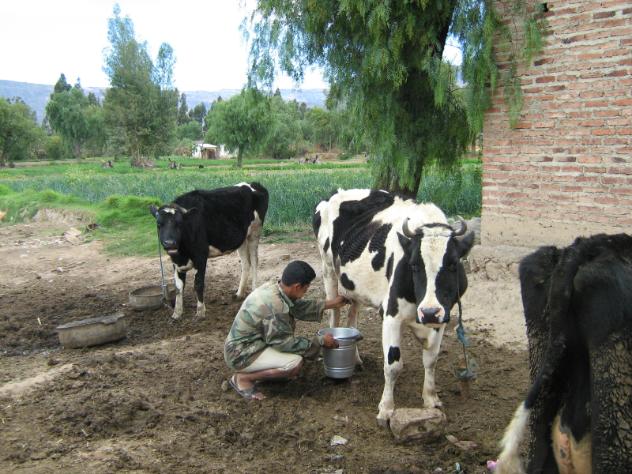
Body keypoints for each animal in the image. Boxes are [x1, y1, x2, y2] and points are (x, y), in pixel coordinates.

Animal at [149, 182, 269, 320]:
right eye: (159, 224)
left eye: (179, 224)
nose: (169, 243)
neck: (182, 253)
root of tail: (254, 184)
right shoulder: (175, 261)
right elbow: (179, 287)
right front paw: (177, 313)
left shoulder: (201, 256)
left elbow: (198, 284)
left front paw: (200, 312)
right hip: (242, 239)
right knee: (245, 264)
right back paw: (239, 294)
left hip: (254, 233)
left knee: (254, 262)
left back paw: (254, 290)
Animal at [313, 189, 475, 426]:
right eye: (414, 264)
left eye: (453, 263)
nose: (428, 312)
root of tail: (338, 191)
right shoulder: (391, 316)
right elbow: (393, 365)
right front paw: (386, 409)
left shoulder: (441, 317)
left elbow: (431, 359)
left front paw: (431, 399)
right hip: (328, 271)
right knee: (334, 314)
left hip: (354, 284)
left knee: (353, 316)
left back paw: (357, 359)